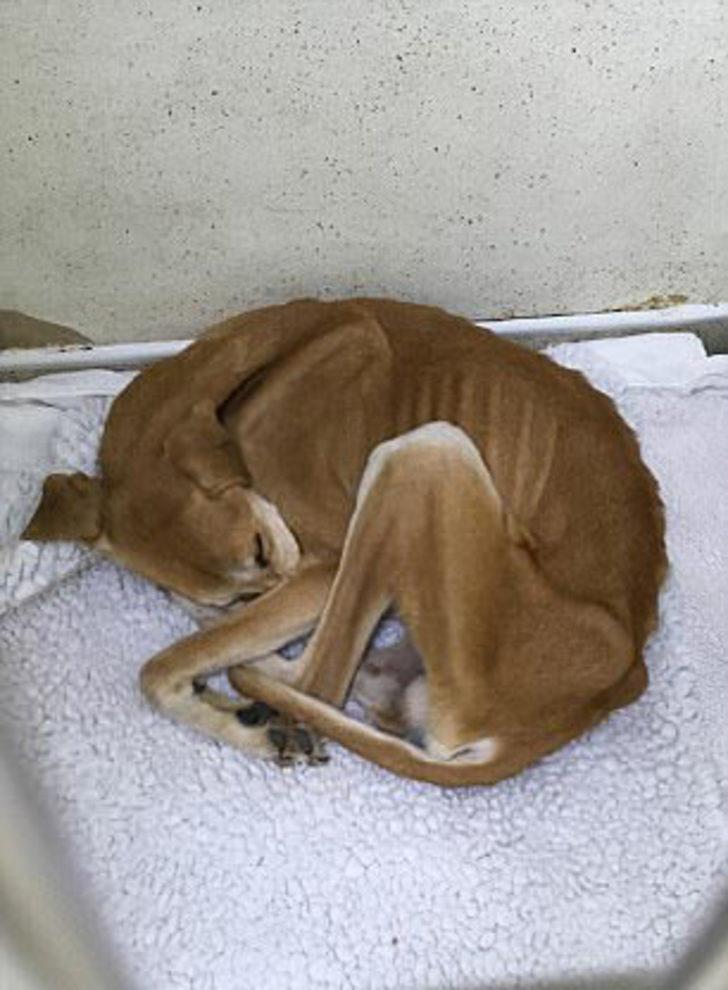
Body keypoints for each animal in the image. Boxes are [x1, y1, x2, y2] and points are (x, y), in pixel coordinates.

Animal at [23, 297, 667, 786]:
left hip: (424, 451)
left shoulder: (321, 566)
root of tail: (609, 685)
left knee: (314, 682)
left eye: (259, 547)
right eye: (252, 562)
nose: (271, 587)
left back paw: (261, 713)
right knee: (326, 687)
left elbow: (157, 671)